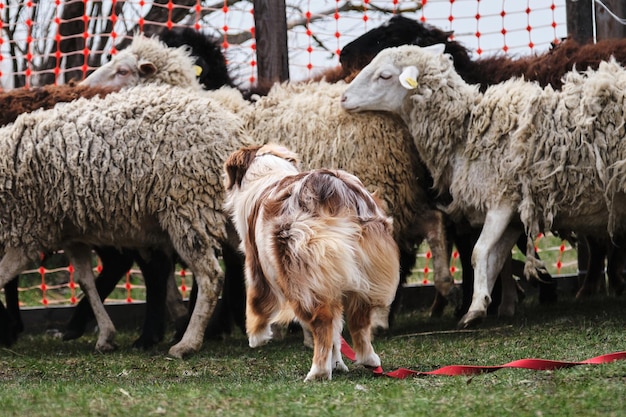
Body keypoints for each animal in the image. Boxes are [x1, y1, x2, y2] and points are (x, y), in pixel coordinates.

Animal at [0, 82, 250, 354]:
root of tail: (233, 130)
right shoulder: (70, 233)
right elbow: (86, 281)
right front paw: (106, 336)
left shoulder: (29, 232)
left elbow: (2, 275)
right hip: (225, 212)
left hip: (188, 208)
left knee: (210, 276)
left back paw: (188, 343)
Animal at [224, 143, 398, 380]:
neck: (266, 170)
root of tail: (333, 186)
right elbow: (337, 332)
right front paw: (338, 363)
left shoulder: (255, 264)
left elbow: (256, 303)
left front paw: (256, 336)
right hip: (362, 270)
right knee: (358, 320)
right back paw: (368, 359)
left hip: (302, 275)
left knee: (322, 323)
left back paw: (318, 372)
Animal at [338, 43, 624, 328]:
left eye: (384, 76)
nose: (343, 98)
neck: (468, 131)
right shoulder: (514, 216)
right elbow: (495, 260)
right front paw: (485, 304)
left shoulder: (501, 201)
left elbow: (479, 253)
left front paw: (476, 306)